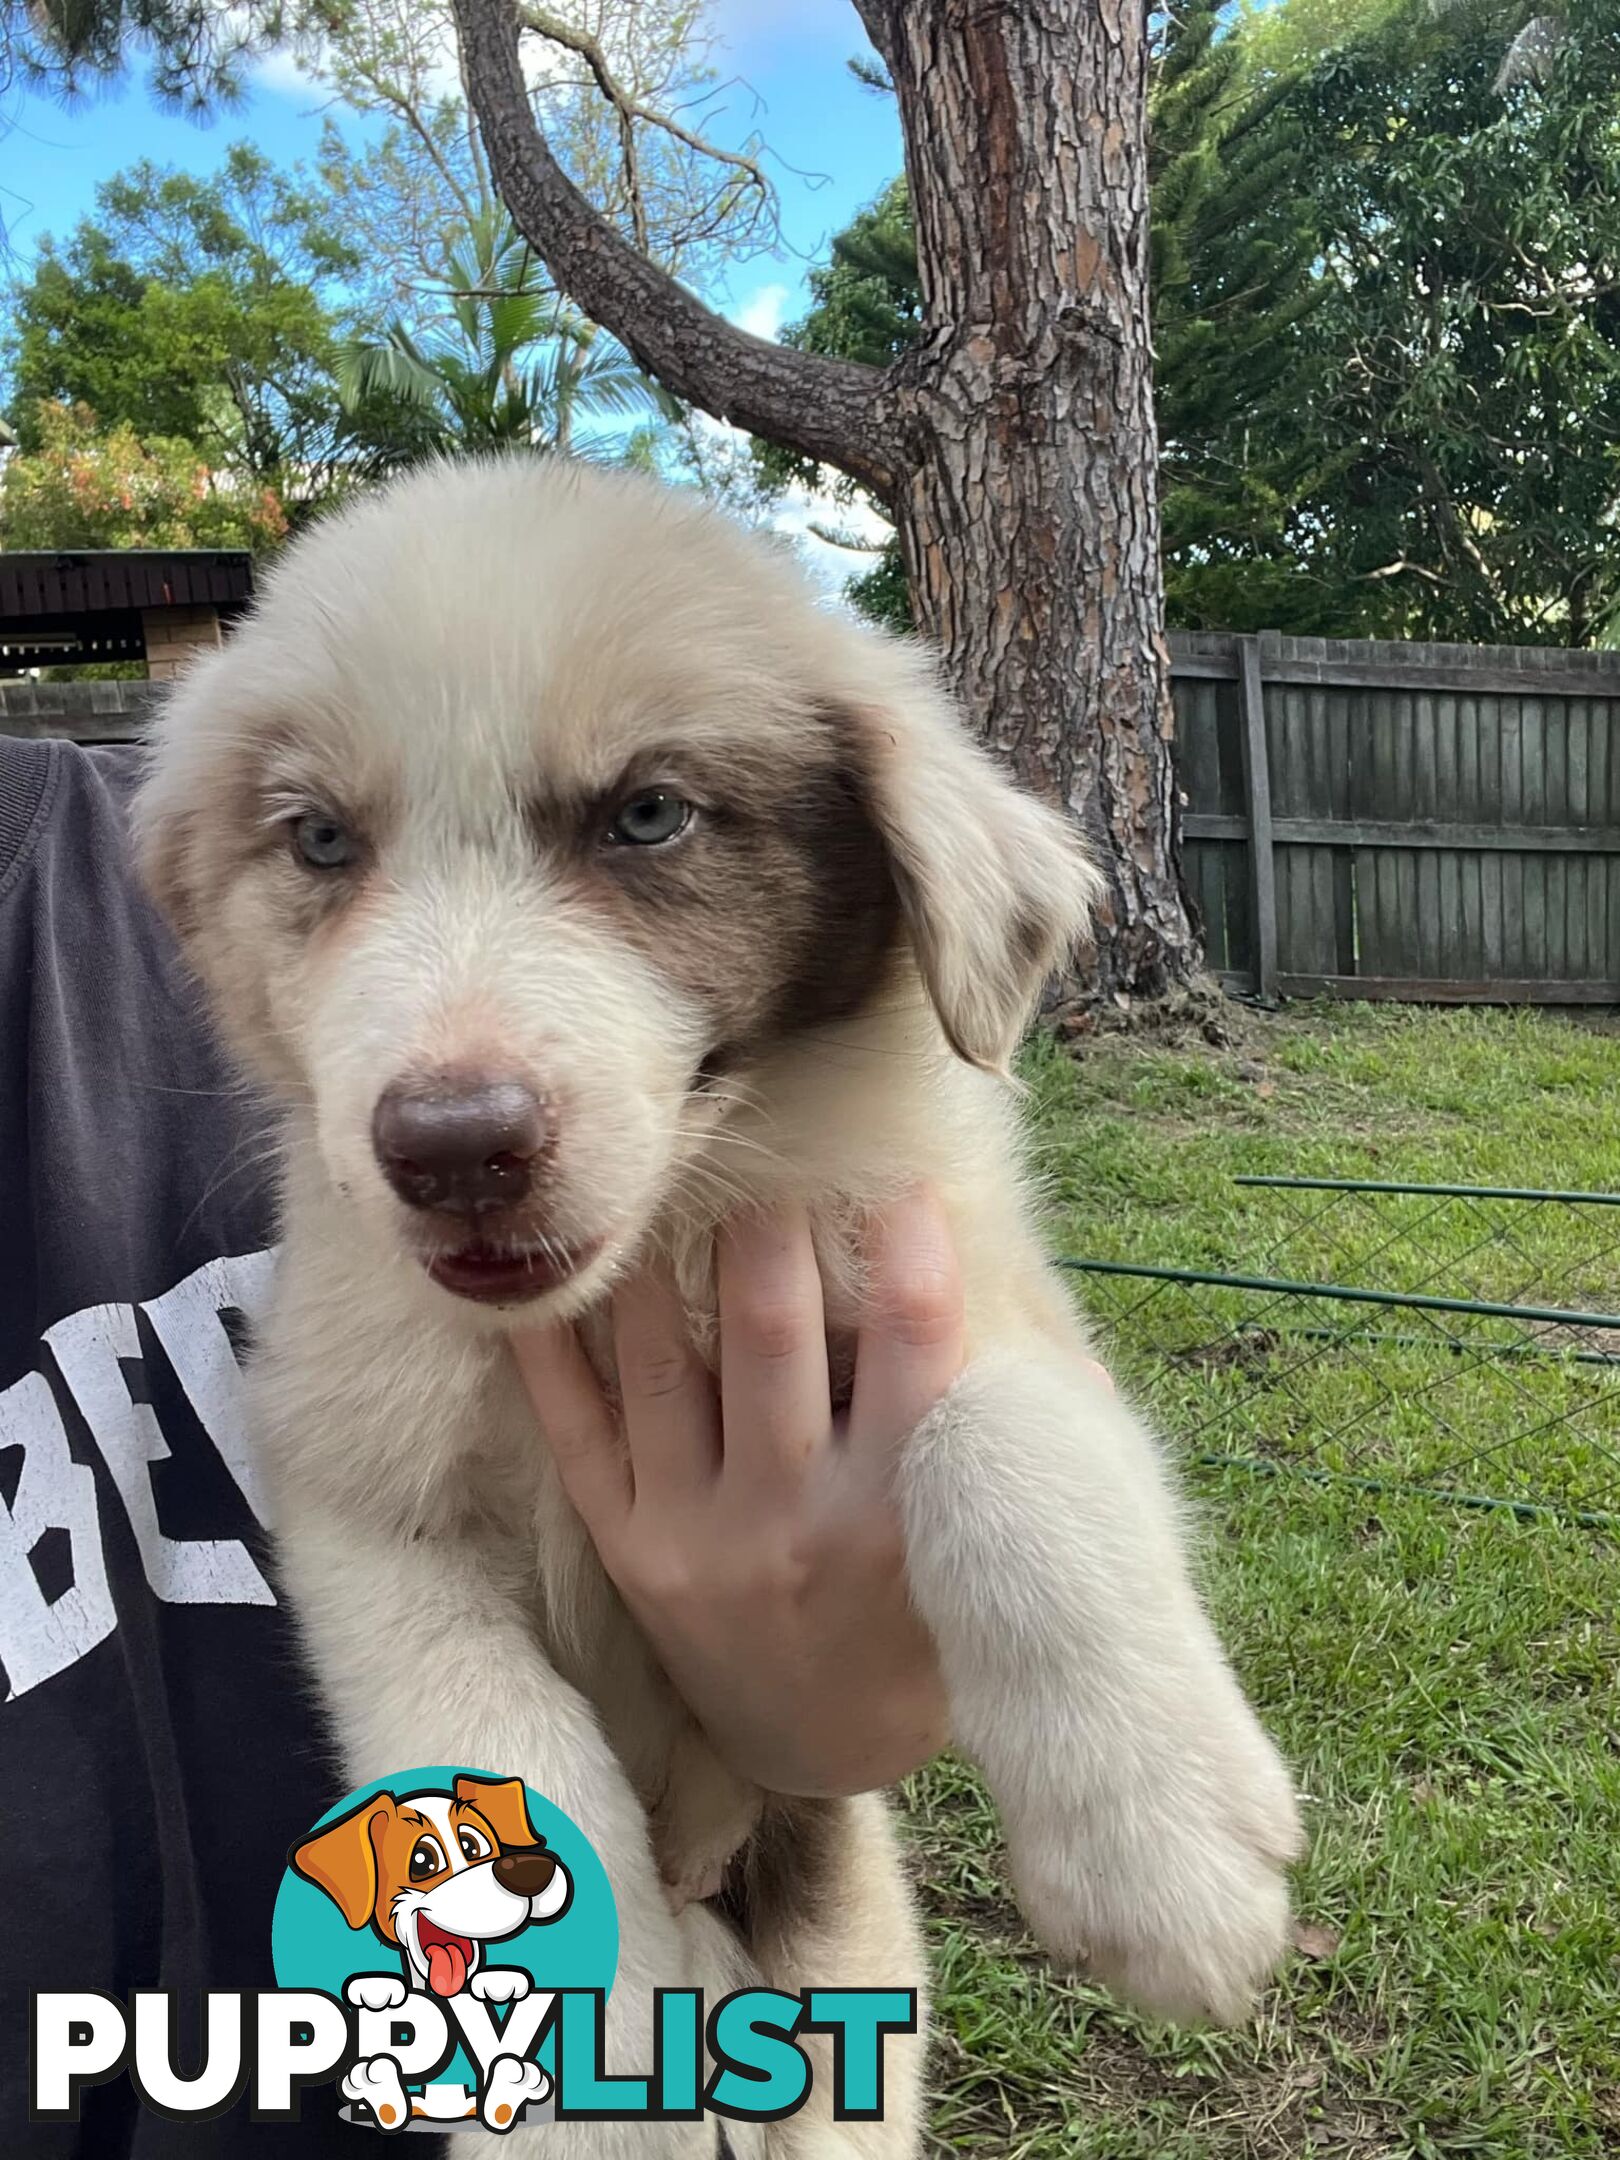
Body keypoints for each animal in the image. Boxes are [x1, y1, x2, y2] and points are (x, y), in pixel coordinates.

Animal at [136, 447, 1304, 2151]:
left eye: (647, 816)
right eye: (321, 843)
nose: (453, 1150)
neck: (656, 1251)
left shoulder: (967, 1296)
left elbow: (1015, 1460)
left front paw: (1168, 1856)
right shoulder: (358, 1488)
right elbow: (488, 1719)